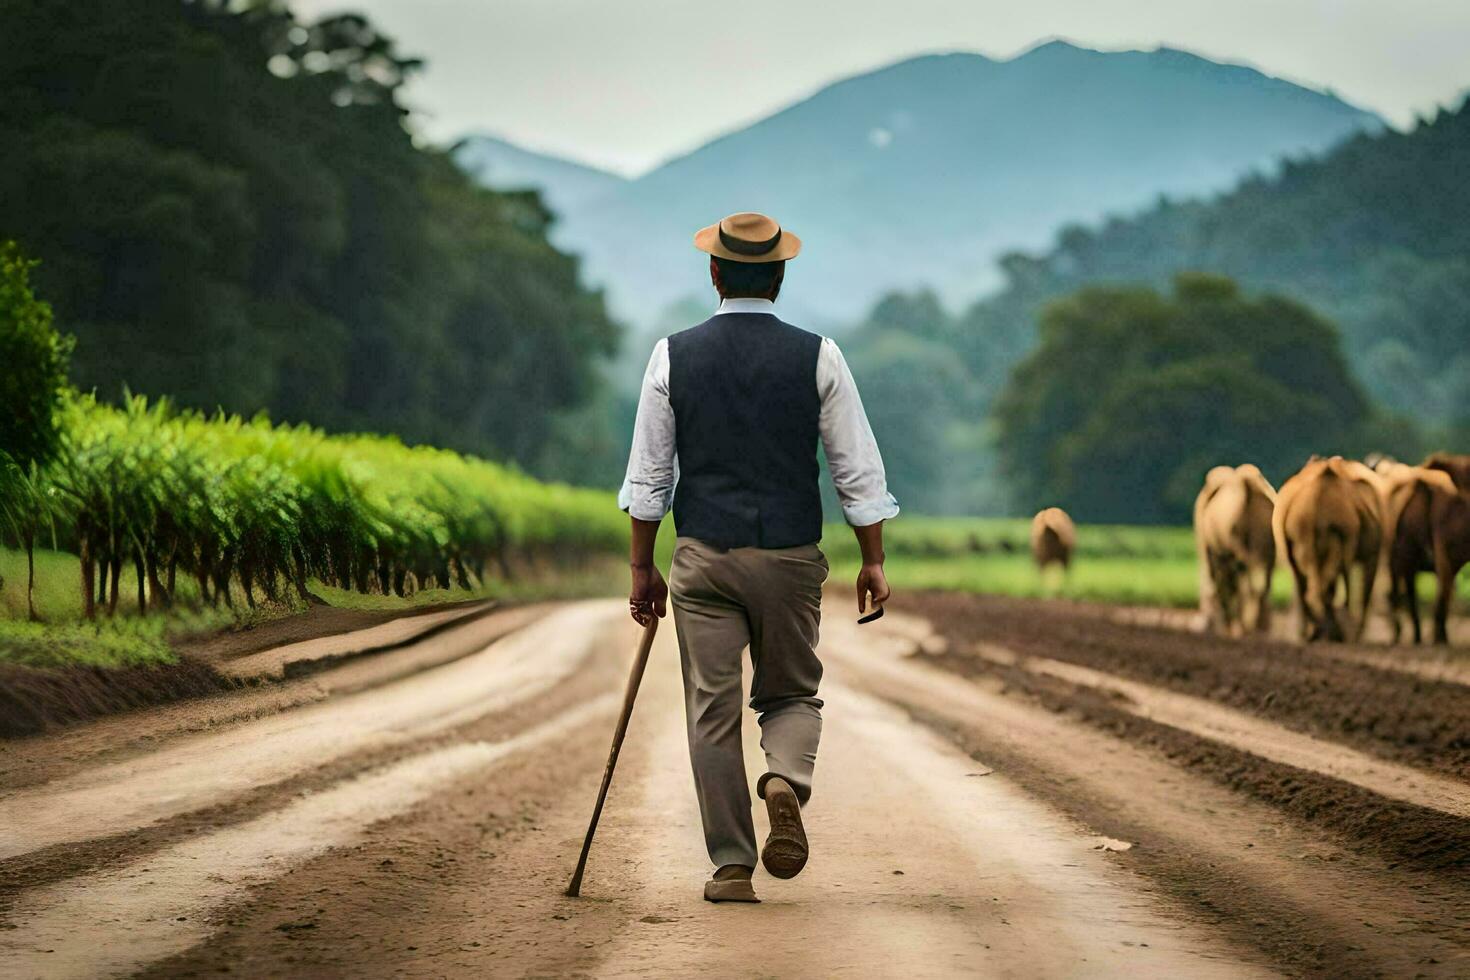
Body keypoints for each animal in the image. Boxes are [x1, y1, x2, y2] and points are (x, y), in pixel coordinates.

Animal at [1270, 458, 1381, 643]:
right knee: (1329, 578)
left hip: (1292, 523)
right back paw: (1332, 632)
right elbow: (1363, 586)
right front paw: (1353, 633)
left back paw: (1312, 633)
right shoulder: (1370, 552)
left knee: (1302, 574)